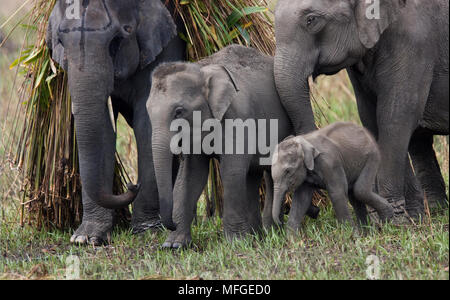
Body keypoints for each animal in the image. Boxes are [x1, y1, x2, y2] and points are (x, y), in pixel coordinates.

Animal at [46, 0, 185, 244]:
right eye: (60, 42)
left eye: (119, 38)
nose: (132, 184)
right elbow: (102, 128)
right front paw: (85, 238)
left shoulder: (167, 47)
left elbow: (148, 125)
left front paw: (147, 231)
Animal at [147, 45, 316, 248]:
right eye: (147, 111)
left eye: (179, 112)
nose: (169, 224)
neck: (203, 70)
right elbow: (191, 174)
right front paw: (173, 246)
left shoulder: (238, 117)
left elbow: (231, 171)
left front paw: (235, 243)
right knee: (252, 176)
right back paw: (257, 234)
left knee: (269, 174)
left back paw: (270, 232)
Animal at [272, 0, 448, 219]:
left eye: (311, 20)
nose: (315, 210)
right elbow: (370, 117)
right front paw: (400, 217)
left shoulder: (414, 42)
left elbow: (396, 118)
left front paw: (395, 219)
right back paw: (435, 210)